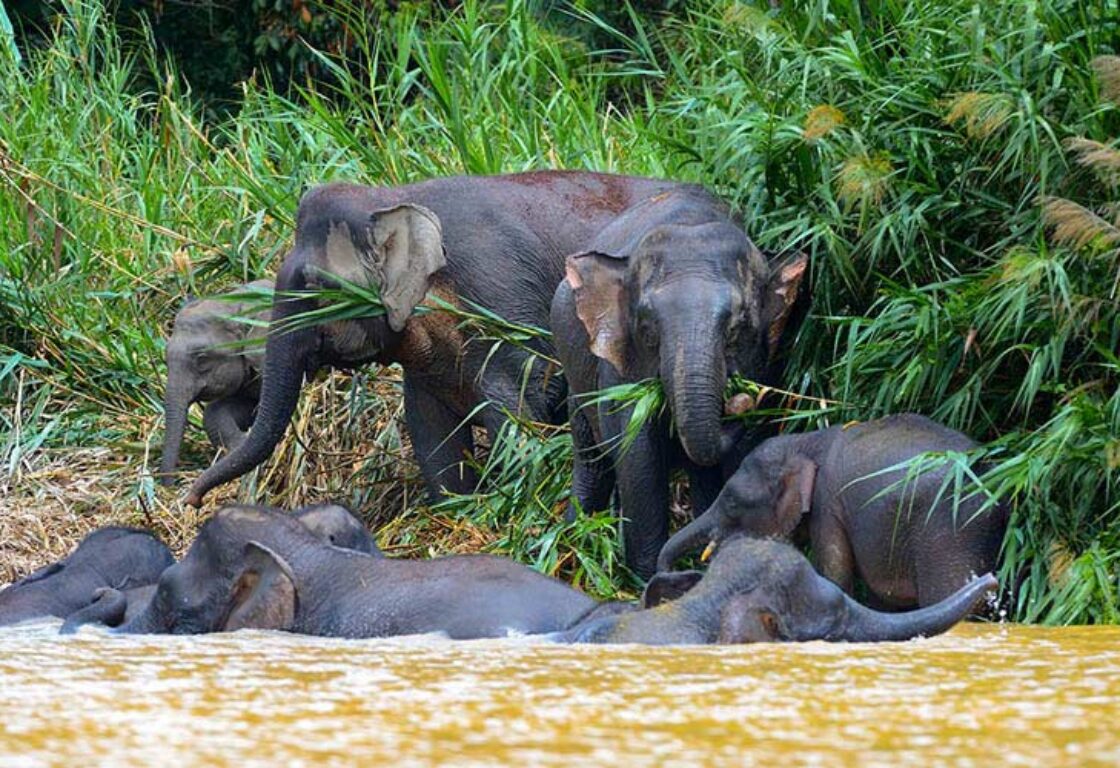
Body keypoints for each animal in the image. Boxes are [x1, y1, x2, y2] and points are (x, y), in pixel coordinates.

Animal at [185, 173, 691, 508]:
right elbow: (431, 434)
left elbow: (520, 415)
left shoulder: (502, 301)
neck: (394, 197)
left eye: (313, 285)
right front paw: (463, 508)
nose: (192, 497)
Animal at [550, 187, 807, 577]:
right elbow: (637, 456)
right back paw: (572, 543)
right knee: (593, 462)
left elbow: (741, 454)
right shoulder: (619, 365)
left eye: (737, 328)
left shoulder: (767, 361)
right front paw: (644, 579)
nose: (740, 400)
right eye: (647, 328)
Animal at [657, 414, 1010, 609]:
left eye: (731, 501)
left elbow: (835, 574)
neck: (804, 441)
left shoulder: (828, 504)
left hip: (947, 534)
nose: (678, 575)